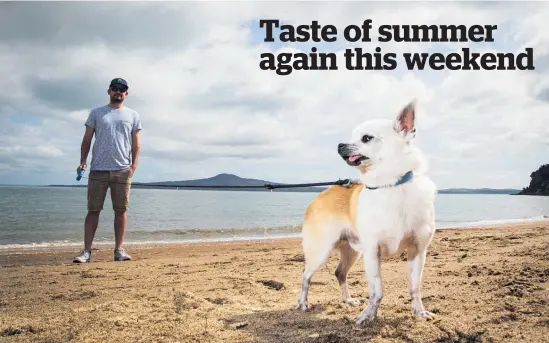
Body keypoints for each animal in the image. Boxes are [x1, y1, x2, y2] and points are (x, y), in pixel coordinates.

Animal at [296, 101, 436, 326]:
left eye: (366, 138)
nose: (340, 144)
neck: (390, 185)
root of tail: (320, 195)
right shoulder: (372, 251)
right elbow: (376, 289)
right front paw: (368, 315)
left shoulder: (417, 250)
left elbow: (415, 287)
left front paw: (419, 312)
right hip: (320, 251)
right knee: (305, 275)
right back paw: (303, 302)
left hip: (351, 251)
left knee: (339, 272)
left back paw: (347, 300)